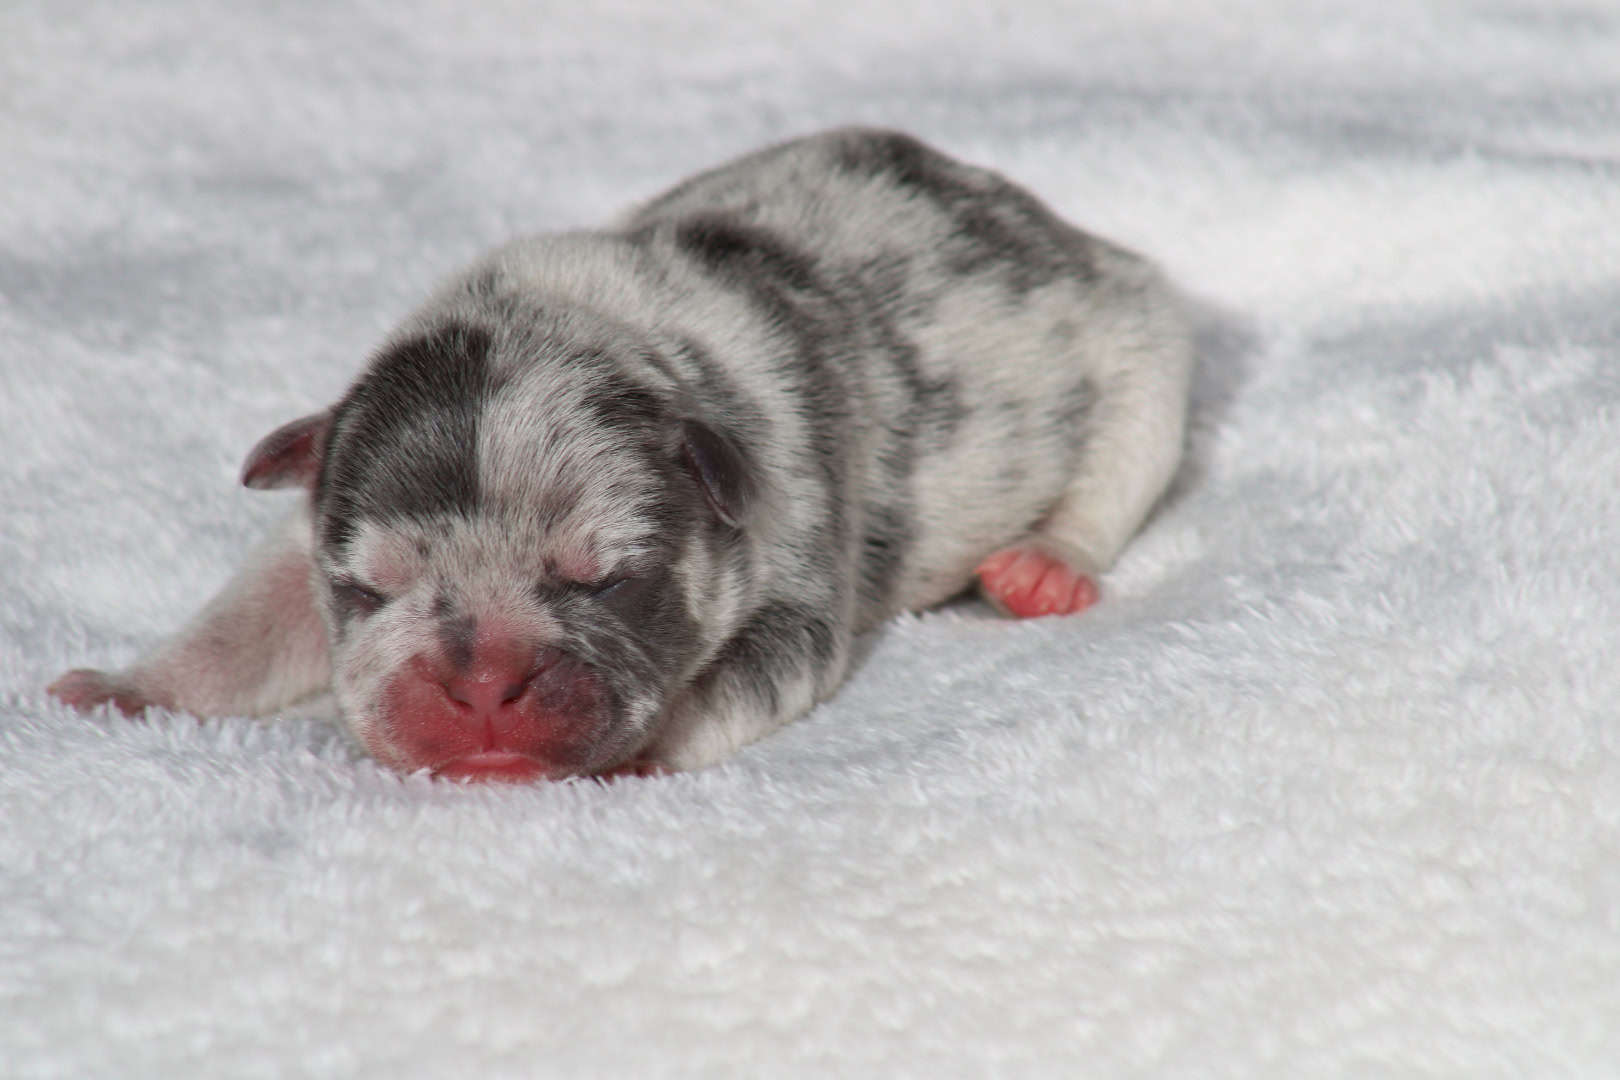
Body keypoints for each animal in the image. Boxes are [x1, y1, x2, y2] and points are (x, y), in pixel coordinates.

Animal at [47, 131, 1192, 780]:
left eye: (604, 580)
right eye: (369, 589)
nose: (483, 683)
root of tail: (1024, 211)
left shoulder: (794, 565)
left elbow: (745, 680)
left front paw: (639, 756)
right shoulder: (305, 540)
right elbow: (246, 623)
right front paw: (132, 689)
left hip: (1140, 341)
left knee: (1121, 465)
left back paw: (1046, 566)